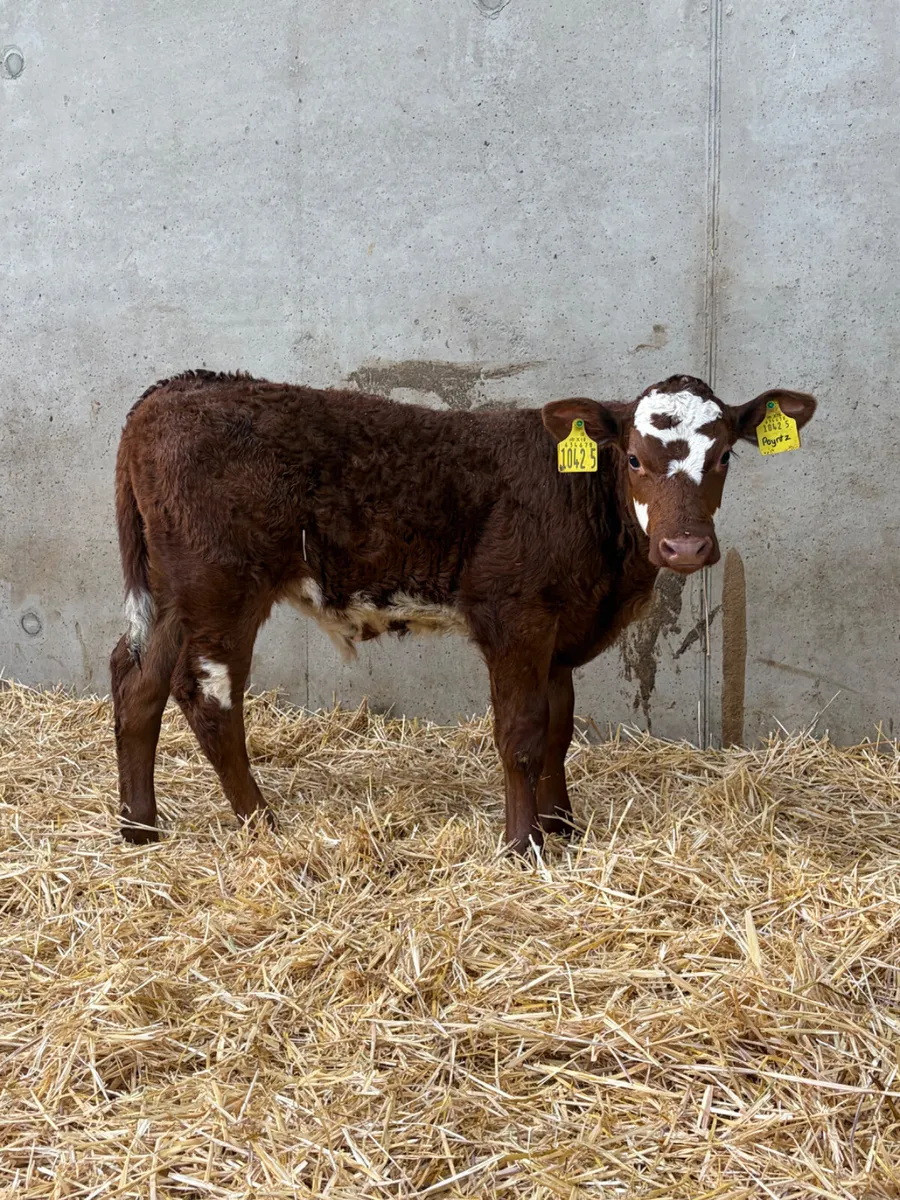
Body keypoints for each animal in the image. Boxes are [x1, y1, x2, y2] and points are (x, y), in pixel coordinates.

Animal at [110, 370, 816, 854]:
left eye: (724, 456)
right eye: (635, 458)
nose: (686, 547)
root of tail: (172, 390)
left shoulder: (559, 628)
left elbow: (559, 728)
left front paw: (563, 827)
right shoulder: (515, 617)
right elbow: (522, 733)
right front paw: (524, 844)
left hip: (173, 594)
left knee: (137, 681)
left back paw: (140, 826)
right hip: (220, 587)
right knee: (207, 698)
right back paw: (261, 821)